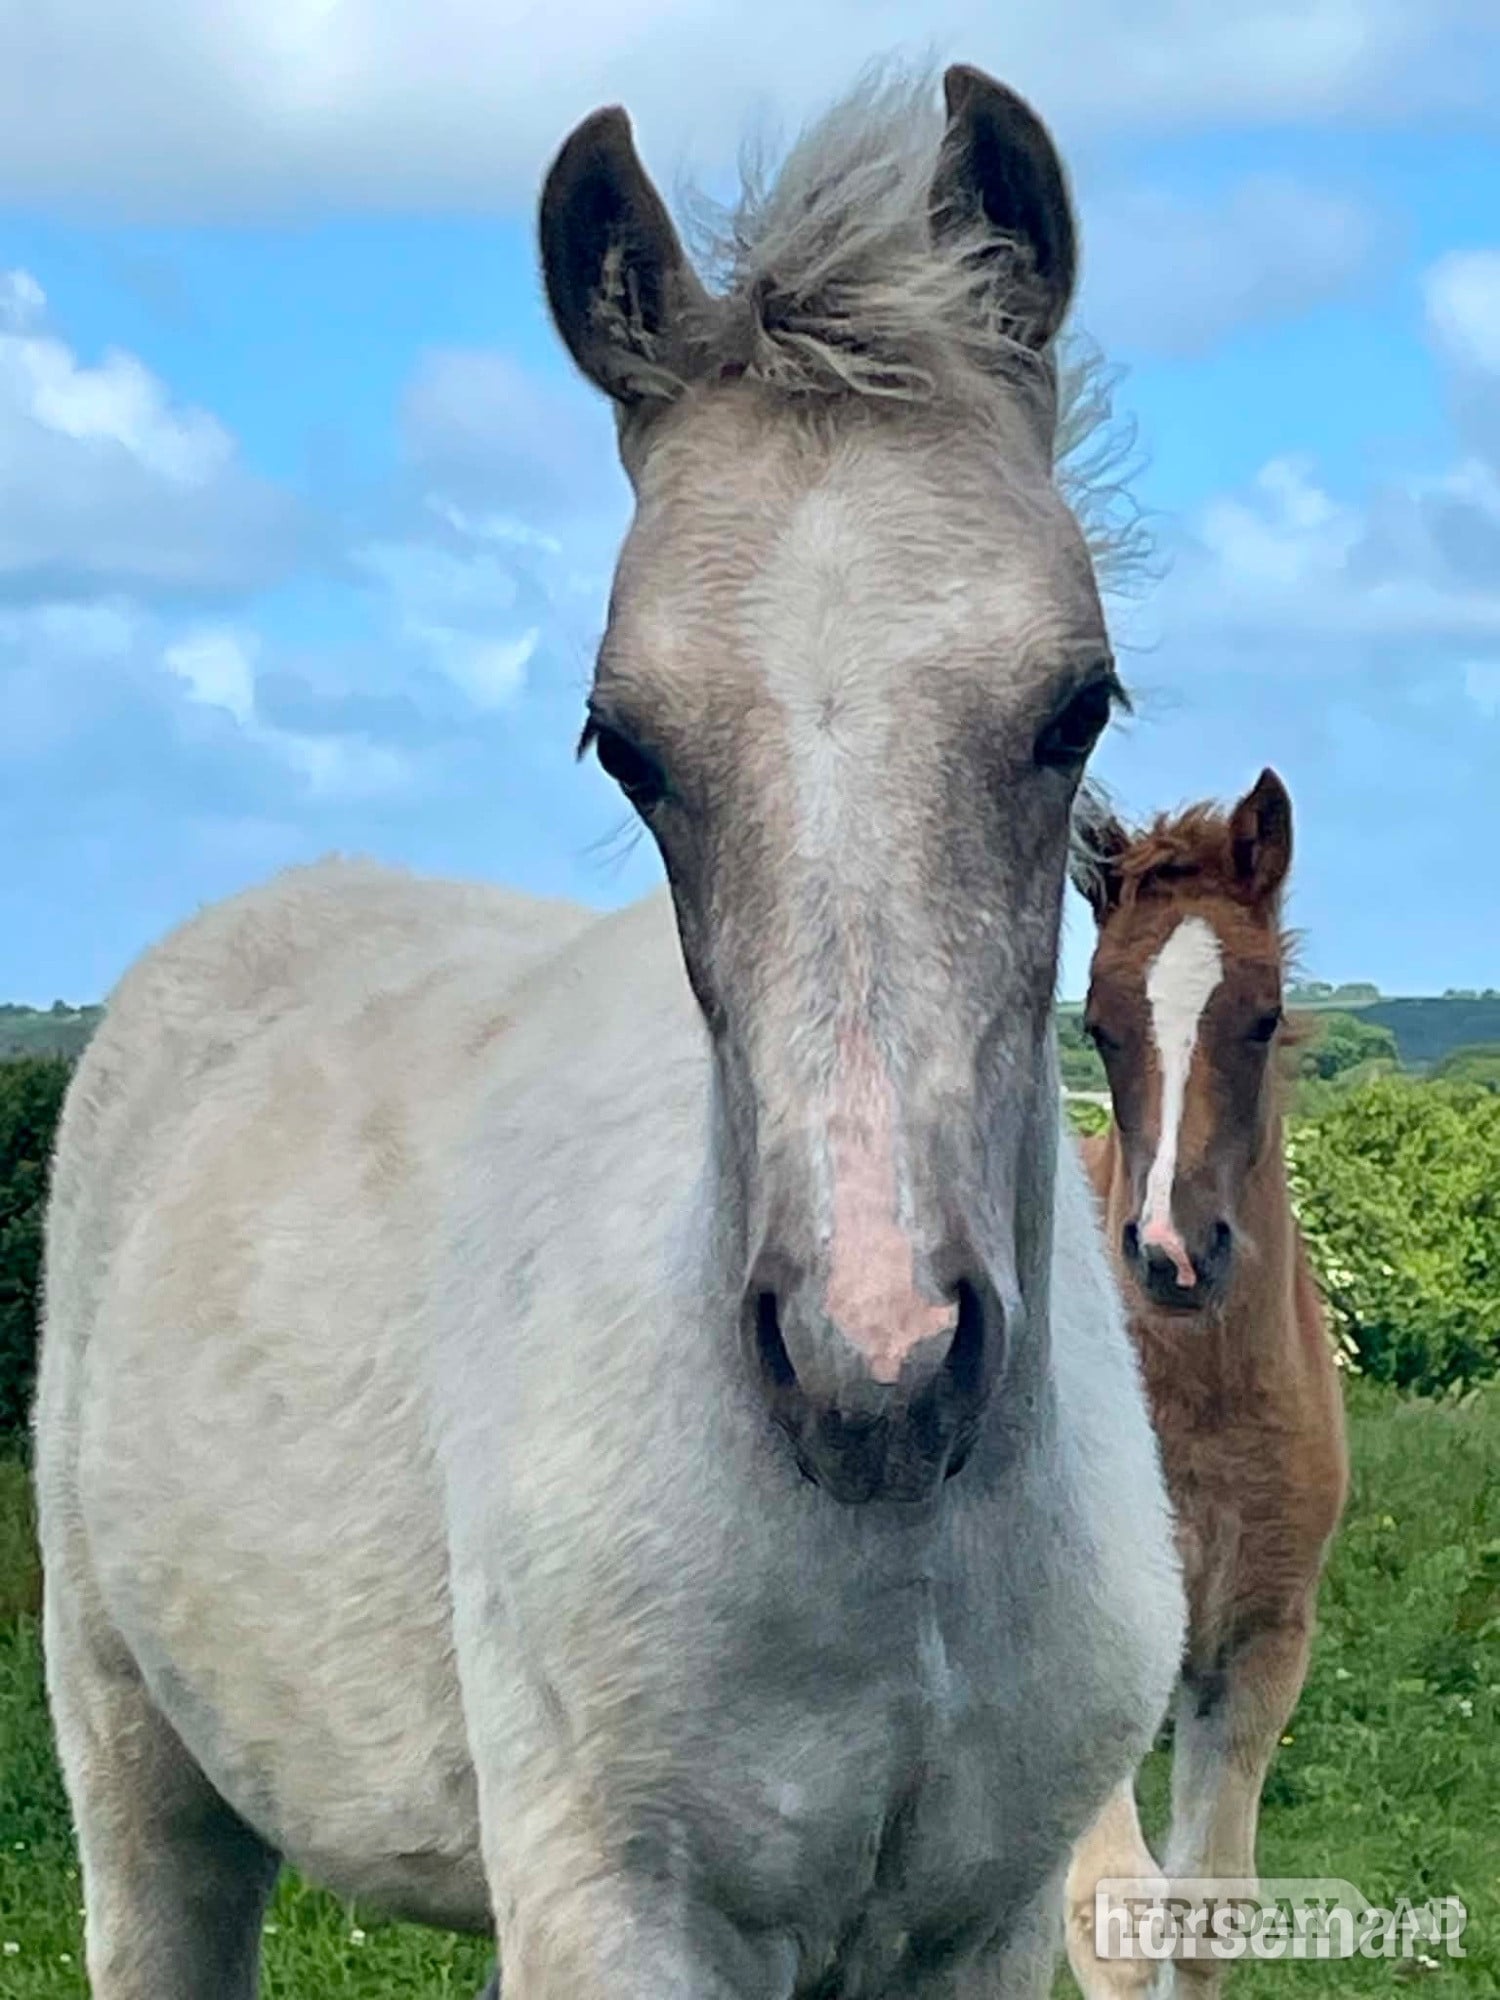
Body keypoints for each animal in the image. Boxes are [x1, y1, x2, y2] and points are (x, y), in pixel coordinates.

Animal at [34, 63, 1185, 1999]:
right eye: (626, 745)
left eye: (1073, 707)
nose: (876, 1363)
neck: (900, 1573)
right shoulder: (611, 1915)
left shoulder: (989, 1922)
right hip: (139, 1778)